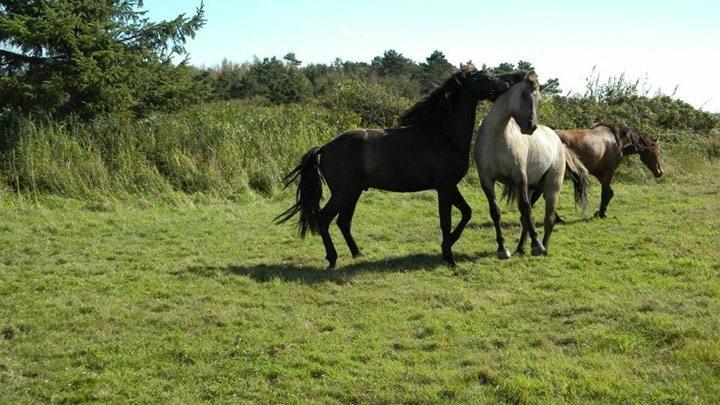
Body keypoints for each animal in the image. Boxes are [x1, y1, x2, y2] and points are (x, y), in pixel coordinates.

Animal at [272, 64, 524, 266]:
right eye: (486, 77)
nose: (510, 82)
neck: (444, 134)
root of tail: (324, 148)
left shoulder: (450, 186)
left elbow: (466, 213)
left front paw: (447, 247)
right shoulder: (444, 187)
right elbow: (446, 221)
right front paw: (449, 257)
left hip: (352, 192)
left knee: (343, 221)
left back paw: (357, 254)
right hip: (343, 193)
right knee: (324, 219)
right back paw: (333, 259)